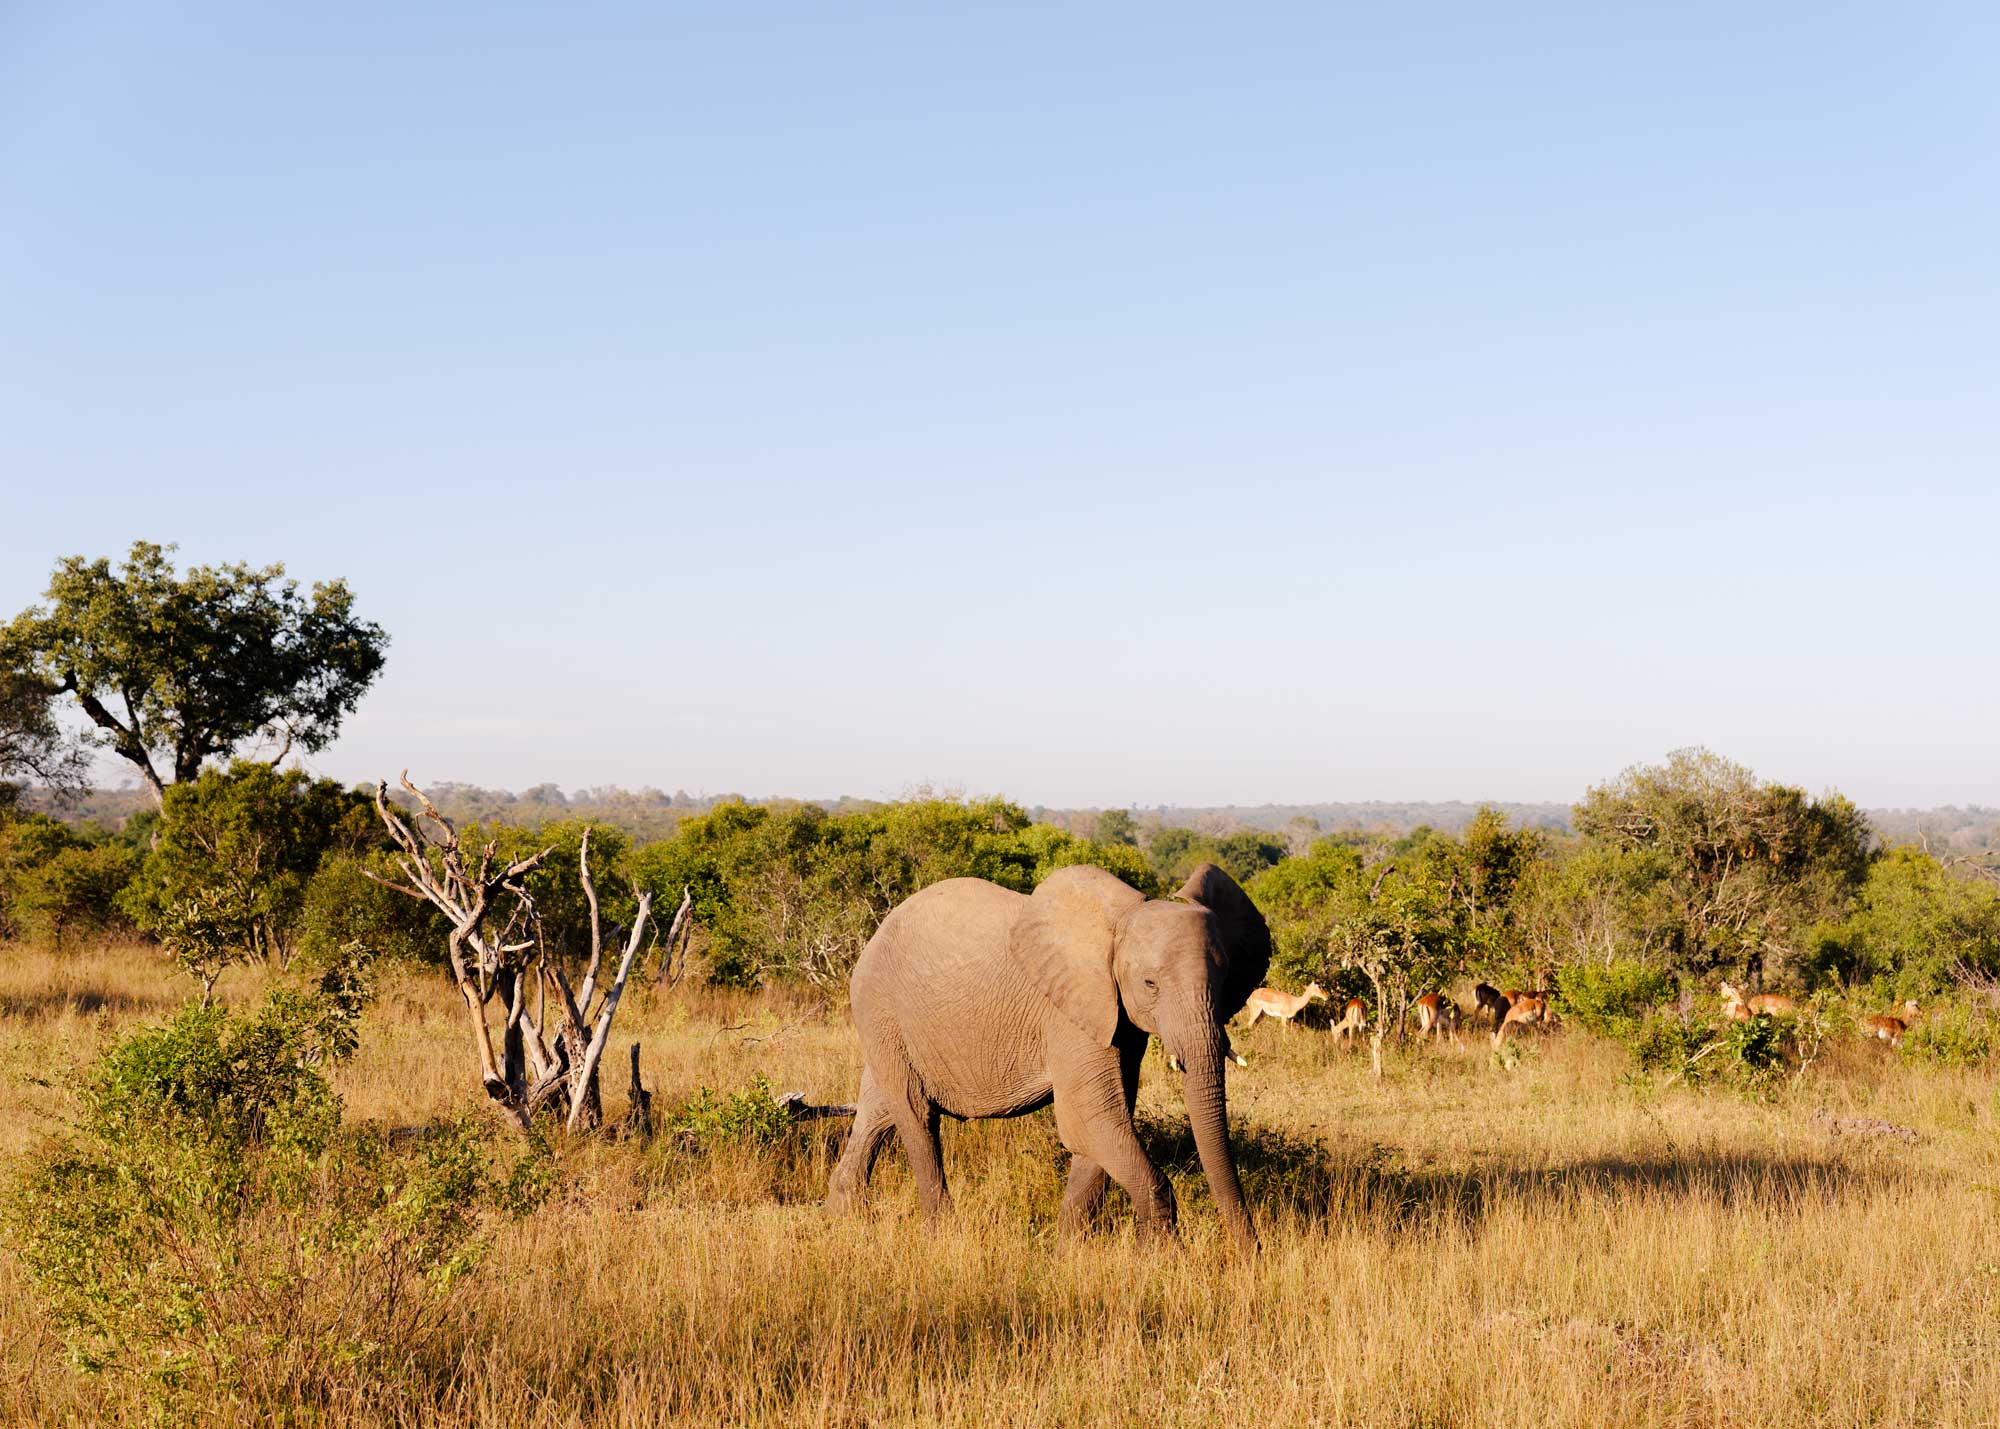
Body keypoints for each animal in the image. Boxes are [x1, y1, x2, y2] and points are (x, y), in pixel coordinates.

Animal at [824, 856, 1264, 1248]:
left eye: (1226, 977)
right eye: (1150, 983)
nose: (1250, 1254)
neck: (1115, 924)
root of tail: (878, 930)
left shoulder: (1115, 1019)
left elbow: (1101, 1126)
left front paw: (1068, 1255)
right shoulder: (1069, 1015)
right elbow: (1089, 1119)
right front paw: (1158, 1259)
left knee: (878, 1109)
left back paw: (842, 1220)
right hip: (882, 1008)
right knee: (916, 1115)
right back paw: (941, 1237)